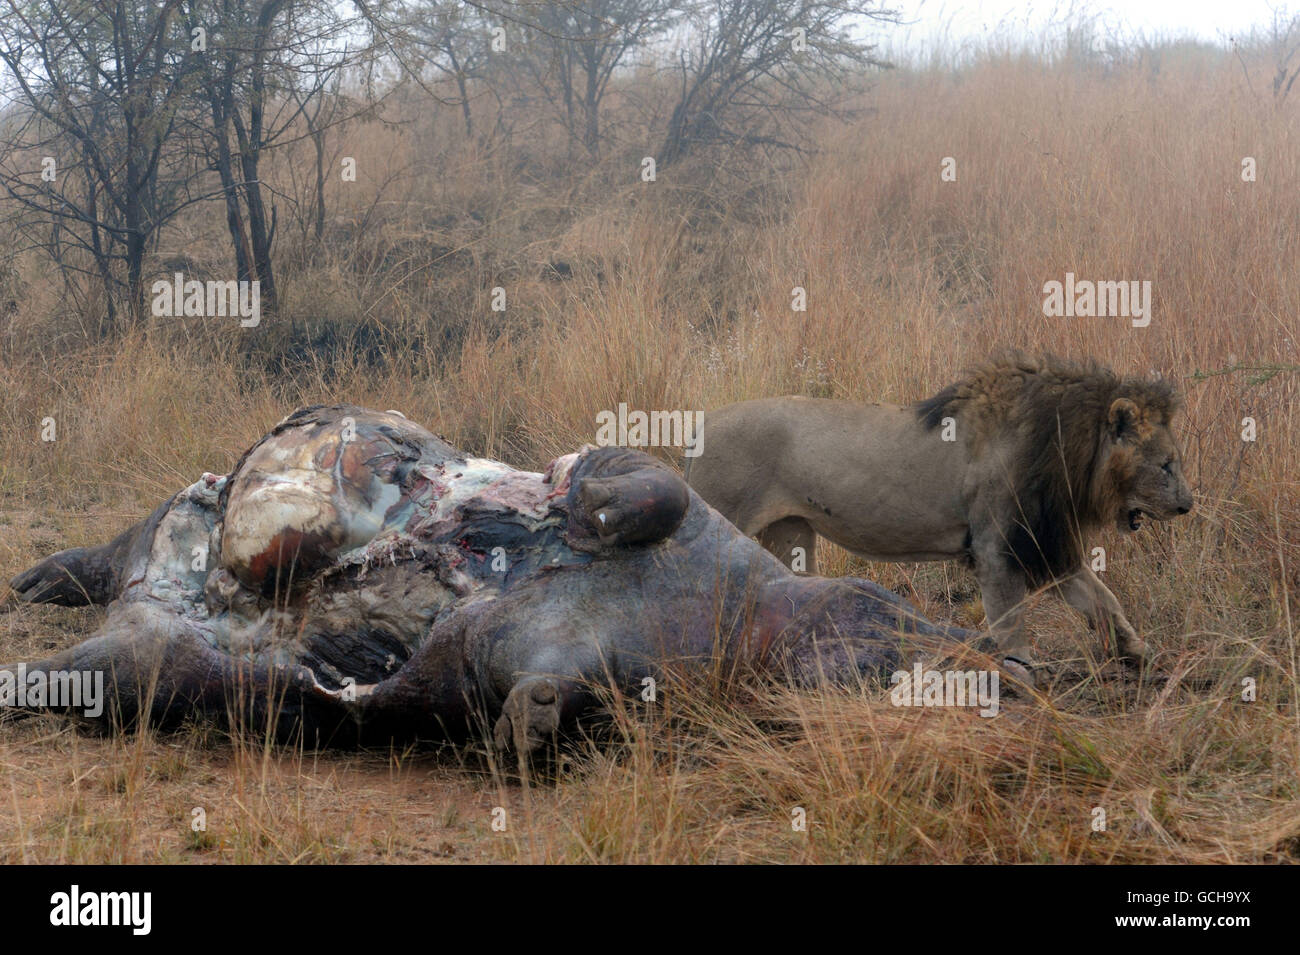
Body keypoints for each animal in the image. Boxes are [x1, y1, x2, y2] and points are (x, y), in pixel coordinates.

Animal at [686, 353, 1190, 680]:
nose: (1187, 505)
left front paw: (1141, 655)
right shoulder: (997, 550)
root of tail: (698, 427)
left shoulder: (1047, 544)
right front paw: (1023, 678)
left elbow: (1105, 601)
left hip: (790, 532)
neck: (1068, 454)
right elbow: (1010, 626)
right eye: (1166, 465)